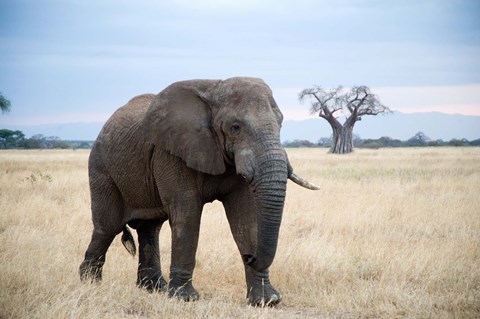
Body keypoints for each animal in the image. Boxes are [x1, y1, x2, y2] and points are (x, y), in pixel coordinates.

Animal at [79, 76, 318, 306]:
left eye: (280, 123)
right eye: (235, 127)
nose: (250, 257)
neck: (214, 90)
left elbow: (245, 215)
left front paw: (267, 301)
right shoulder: (172, 152)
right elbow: (187, 213)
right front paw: (185, 298)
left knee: (150, 228)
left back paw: (155, 288)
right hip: (101, 168)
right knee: (108, 226)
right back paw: (90, 284)